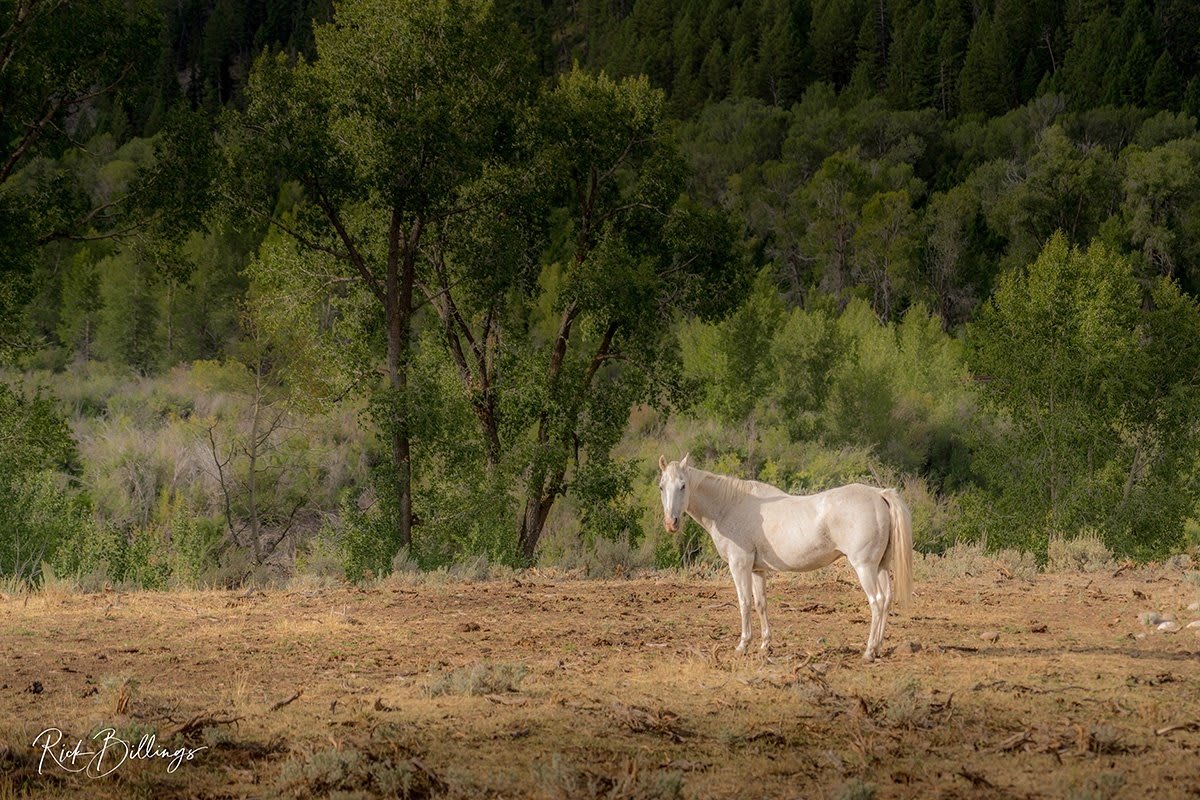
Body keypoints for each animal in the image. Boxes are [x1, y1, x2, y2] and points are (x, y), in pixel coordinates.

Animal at [658, 454, 913, 662]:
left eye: (683, 485)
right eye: (661, 487)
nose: (671, 523)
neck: (729, 506)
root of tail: (879, 494)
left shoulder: (739, 565)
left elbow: (744, 602)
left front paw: (743, 645)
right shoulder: (757, 570)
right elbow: (760, 604)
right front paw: (764, 645)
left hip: (864, 567)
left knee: (876, 601)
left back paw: (869, 652)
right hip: (880, 566)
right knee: (887, 599)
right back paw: (878, 648)